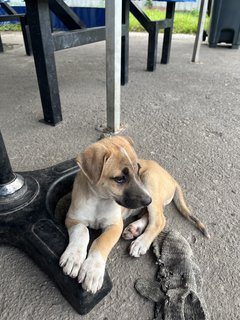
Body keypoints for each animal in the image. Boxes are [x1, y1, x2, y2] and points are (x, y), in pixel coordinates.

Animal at [59, 136, 208, 294]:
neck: (99, 200)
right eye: (120, 178)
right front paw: (73, 258)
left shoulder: (115, 225)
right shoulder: (72, 218)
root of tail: (172, 179)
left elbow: (101, 242)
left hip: (149, 180)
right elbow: (82, 230)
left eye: (138, 170)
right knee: (148, 215)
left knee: (159, 220)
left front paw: (92, 270)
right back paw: (134, 229)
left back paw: (141, 242)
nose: (148, 200)